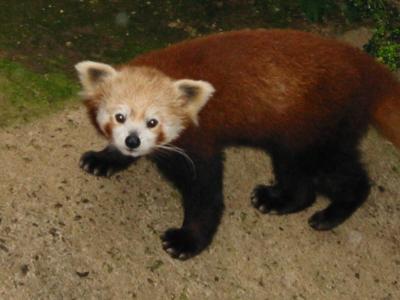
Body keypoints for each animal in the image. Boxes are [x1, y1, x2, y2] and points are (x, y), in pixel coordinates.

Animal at [76, 29, 400, 262]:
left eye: (153, 122)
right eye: (119, 117)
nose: (132, 140)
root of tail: (365, 64)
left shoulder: (200, 142)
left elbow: (205, 194)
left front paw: (188, 240)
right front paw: (105, 158)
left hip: (319, 132)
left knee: (340, 175)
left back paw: (333, 213)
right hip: (291, 138)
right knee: (300, 182)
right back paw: (278, 199)